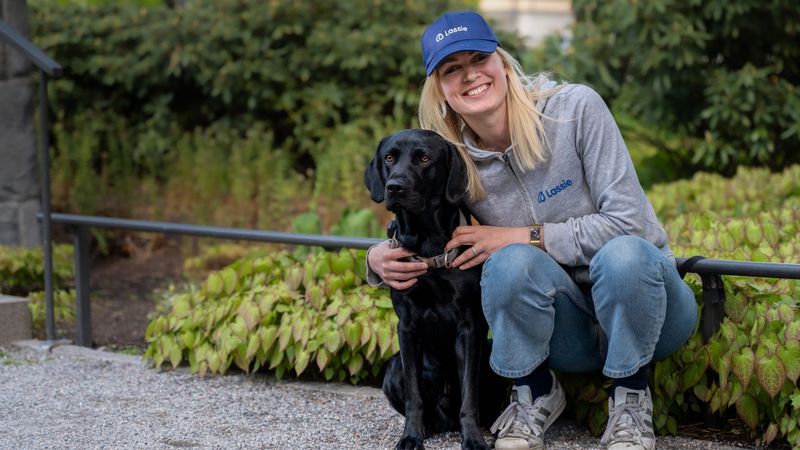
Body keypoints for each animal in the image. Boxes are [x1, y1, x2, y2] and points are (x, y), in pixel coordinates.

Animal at [364, 128, 504, 448]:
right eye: (389, 157)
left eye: (424, 158)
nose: (394, 187)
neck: (427, 244)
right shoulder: (407, 327)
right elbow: (414, 395)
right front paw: (411, 436)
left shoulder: (469, 326)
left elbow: (469, 394)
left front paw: (473, 438)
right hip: (392, 367)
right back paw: (427, 427)